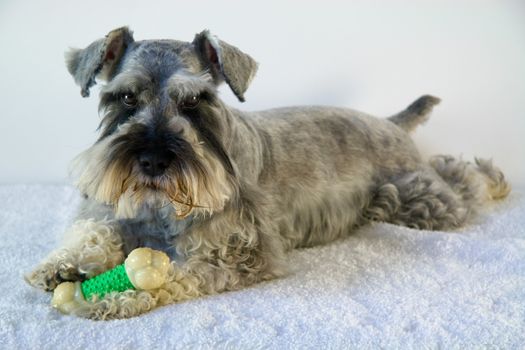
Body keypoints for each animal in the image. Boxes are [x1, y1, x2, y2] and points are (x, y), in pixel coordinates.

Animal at [26, 27, 510, 320]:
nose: (152, 161)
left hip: (416, 198)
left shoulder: (234, 253)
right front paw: (60, 265)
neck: (161, 208)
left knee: (458, 177)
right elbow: (92, 233)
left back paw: (494, 179)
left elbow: (174, 275)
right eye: (125, 97)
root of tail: (390, 122)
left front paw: (115, 295)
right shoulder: (110, 212)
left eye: (194, 101)